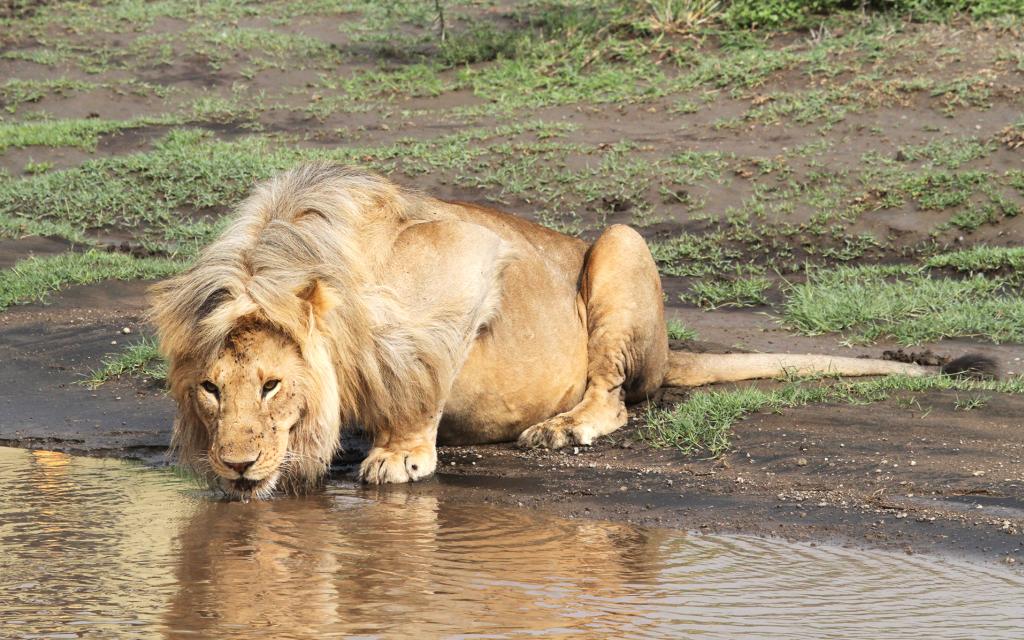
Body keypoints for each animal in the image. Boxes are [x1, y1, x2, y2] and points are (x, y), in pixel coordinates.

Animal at [149, 161, 983, 497]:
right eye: (211, 391)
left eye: (272, 384)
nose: (235, 467)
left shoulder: (471, 260)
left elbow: (420, 381)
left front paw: (398, 454)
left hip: (620, 243)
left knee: (613, 397)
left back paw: (562, 428)